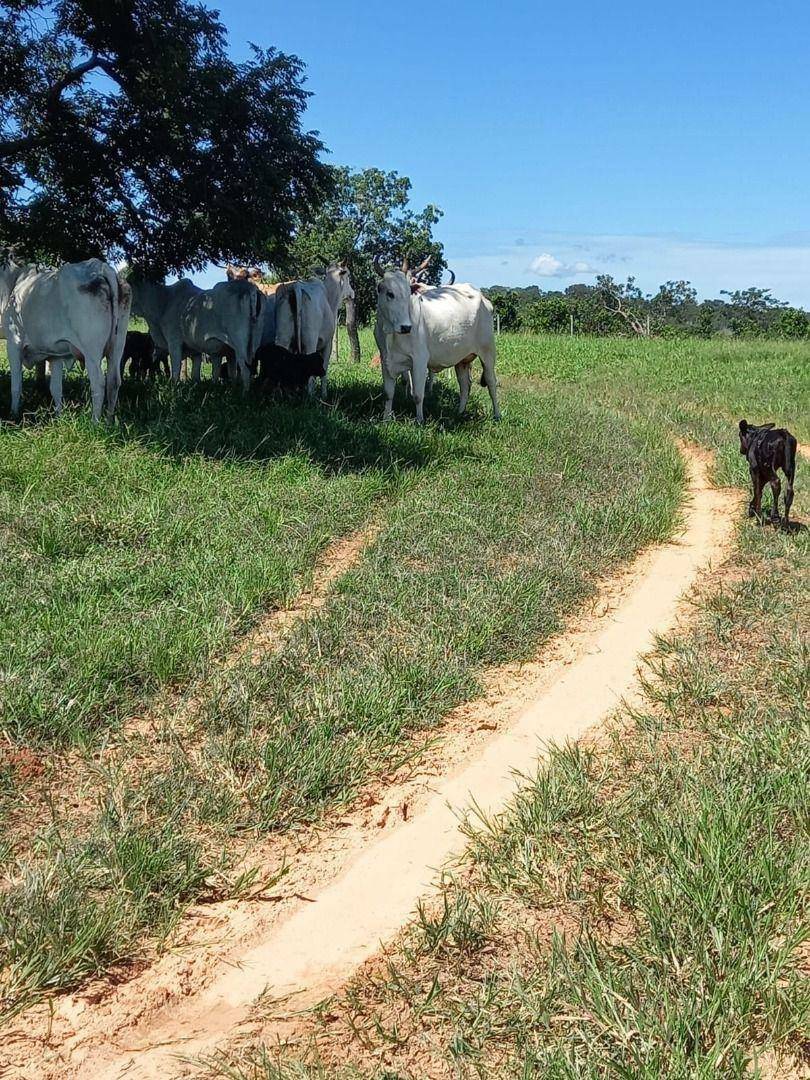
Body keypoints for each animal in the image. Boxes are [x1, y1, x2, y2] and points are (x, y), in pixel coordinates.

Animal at [0, 254, 131, 419]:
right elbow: (56, 389)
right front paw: (58, 416)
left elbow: (16, 386)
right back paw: (109, 421)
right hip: (118, 345)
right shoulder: (54, 355)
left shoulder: (14, 341)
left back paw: (95, 422)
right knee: (114, 382)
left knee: (99, 383)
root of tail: (101, 267)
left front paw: (13, 414)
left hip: (91, 350)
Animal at [133, 278, 264, 388]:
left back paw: (244, 395)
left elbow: (175, 369)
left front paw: (174, 387)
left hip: (241, 346)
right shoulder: (195, 351)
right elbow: (195, 375)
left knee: (245, 371)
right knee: (238, 372)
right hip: (244, 347)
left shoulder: (174, 342)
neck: (164, 302)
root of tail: (249, 288)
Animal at [276, 263, 354, 399]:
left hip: (282, 339)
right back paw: (310, 397)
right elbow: (324, 369)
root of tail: (297, 287)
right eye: (348, 275)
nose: (352, 293)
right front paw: (324, 395)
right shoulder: (327, 344)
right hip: (310, 342)